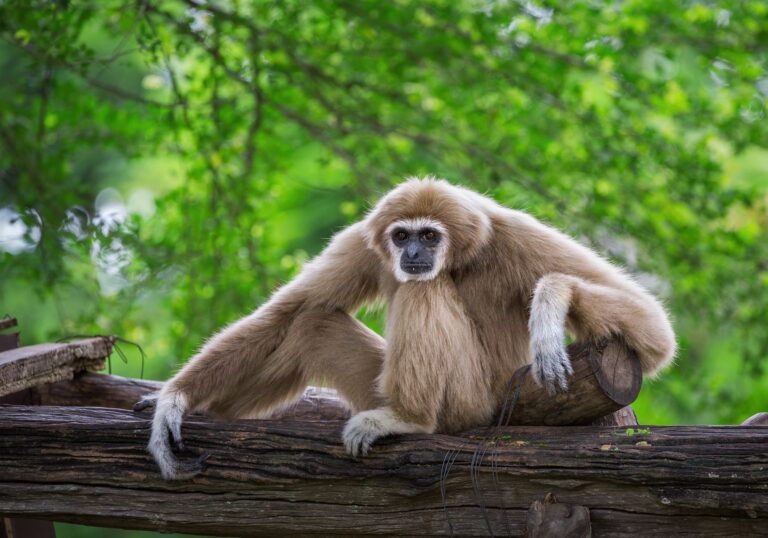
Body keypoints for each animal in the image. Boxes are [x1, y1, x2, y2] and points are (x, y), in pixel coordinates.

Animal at [139, 177, 676, 479]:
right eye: (401, 235)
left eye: (429, 236)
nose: (413, 253)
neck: (461, 256)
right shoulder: (363, 240)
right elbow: (292, 311)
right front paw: (173, 401)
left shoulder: (514, 233)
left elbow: (654, 334)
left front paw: (550, 301)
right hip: (376, 385)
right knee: (312, 322)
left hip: (473, 403)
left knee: (423, 293)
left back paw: (409, 418)